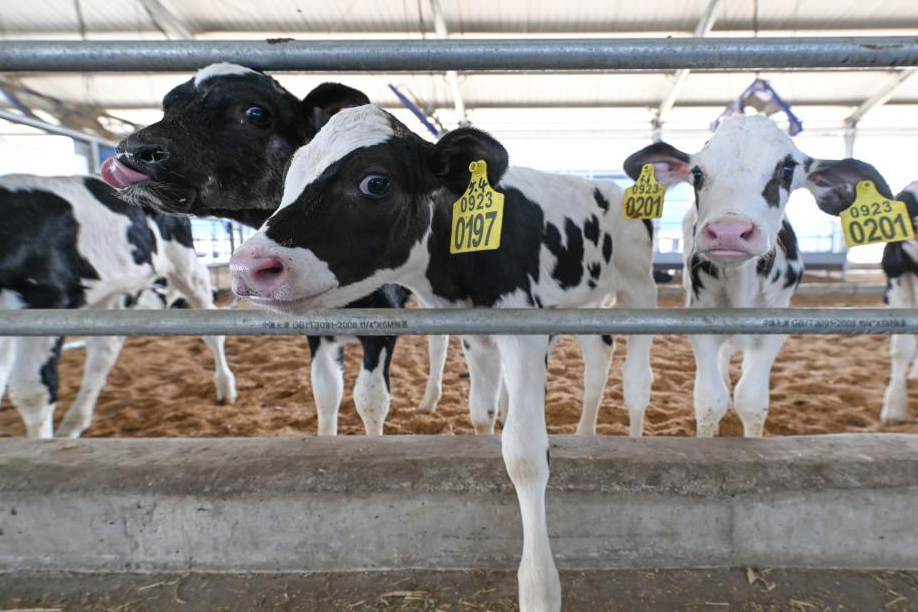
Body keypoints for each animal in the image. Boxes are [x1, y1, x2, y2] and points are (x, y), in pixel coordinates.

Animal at [0, 175, 237, 438]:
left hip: (185, 265)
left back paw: (225, 387)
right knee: (104, 353)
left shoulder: (47, 300)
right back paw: (74, 423)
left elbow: (32, 392)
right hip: (108, 293)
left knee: (212, 332)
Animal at [102, 63, 434, 436]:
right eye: (167, 105)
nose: (132, 150)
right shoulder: (317, 329)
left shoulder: (385, 318)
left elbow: (371, 401)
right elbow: (326, 394)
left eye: (255, 113)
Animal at [628, 115, 888, 438]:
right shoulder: (700, 317)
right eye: (697, 172)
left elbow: (751, 400)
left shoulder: (774, 326)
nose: (729, 231)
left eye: (787, 169)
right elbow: (710, 400)